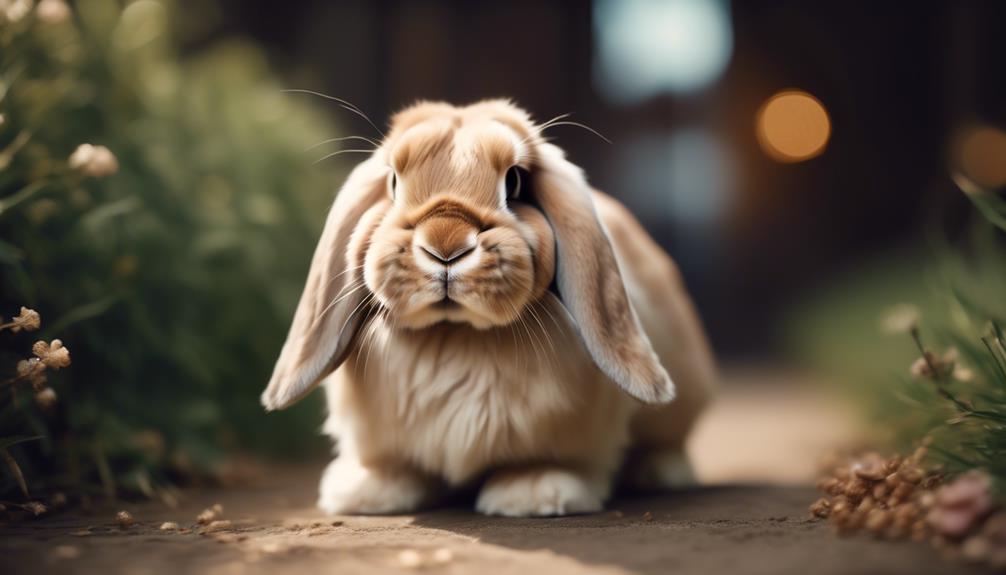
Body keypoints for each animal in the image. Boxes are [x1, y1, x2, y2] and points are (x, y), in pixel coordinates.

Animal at [259, 97, 716, 514]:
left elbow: (561, 461)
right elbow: (395, 466)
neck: (456, 335)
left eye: (514, 183)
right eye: (392, 183)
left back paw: (658, 473)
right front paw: (364, 494)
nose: (445, 246)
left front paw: (535, 493)